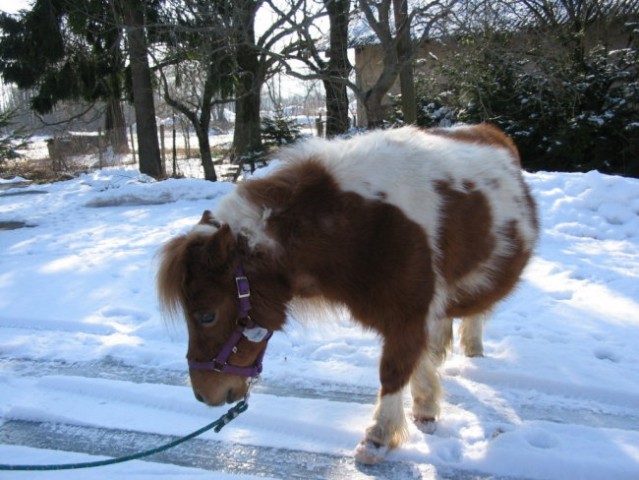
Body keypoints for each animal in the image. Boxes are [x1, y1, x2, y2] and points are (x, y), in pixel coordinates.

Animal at [158, 124, 536, 464]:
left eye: (206, 314)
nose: (203, 395)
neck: (361, 223)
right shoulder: (411, 314)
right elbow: (417, 359)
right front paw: (426, 407)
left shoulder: (409, 313)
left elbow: (394, 370)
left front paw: (378, 439)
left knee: (476, 312)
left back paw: (473, 346)